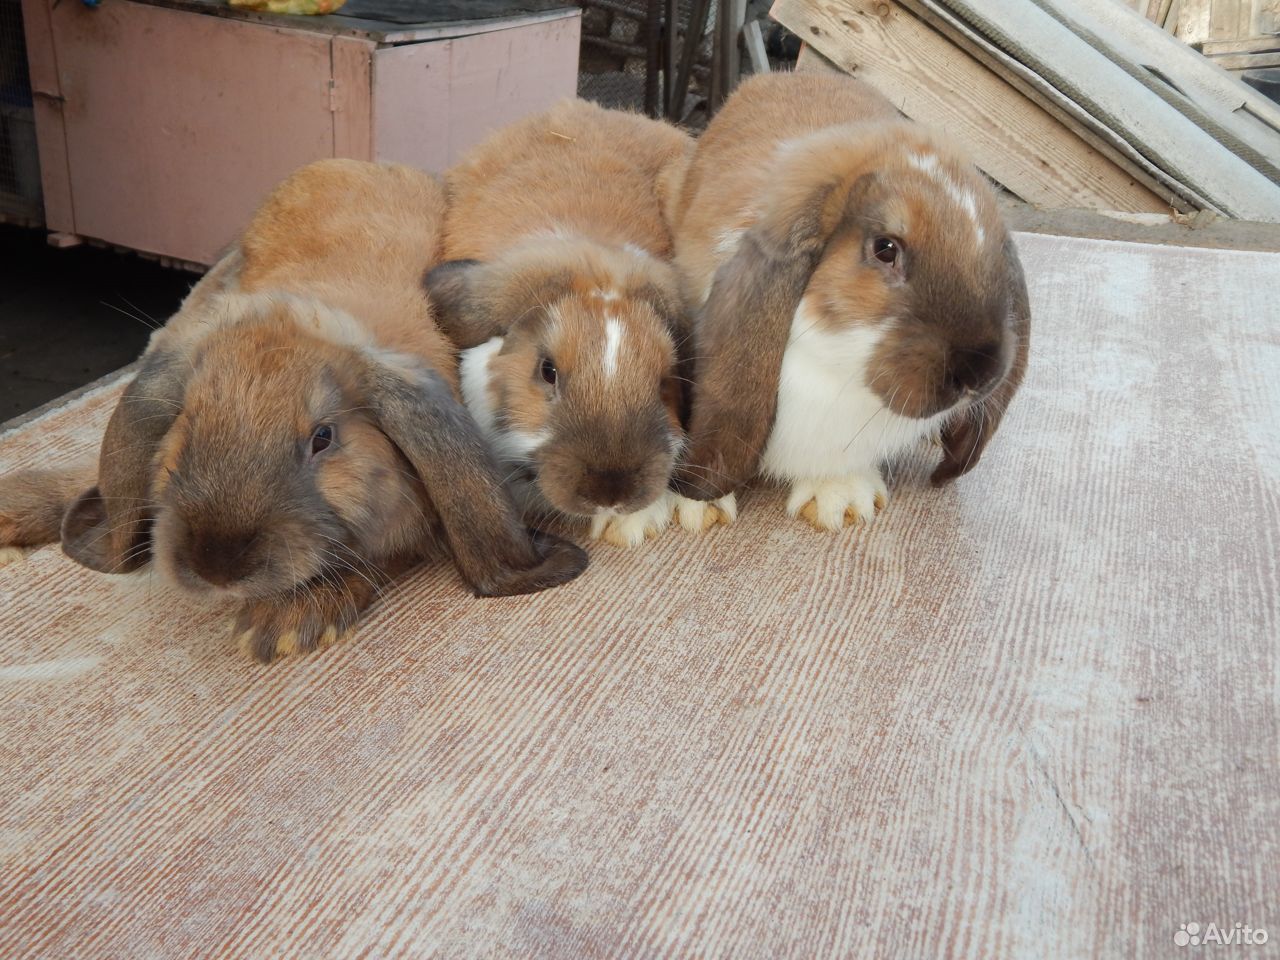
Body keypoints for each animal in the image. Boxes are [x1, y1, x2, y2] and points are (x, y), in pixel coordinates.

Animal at [665, 73, 1031, 531]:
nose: (979, 374)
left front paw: (839, 500)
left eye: (995, 253)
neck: (840, 369)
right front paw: (694, 508)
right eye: (885, 249)